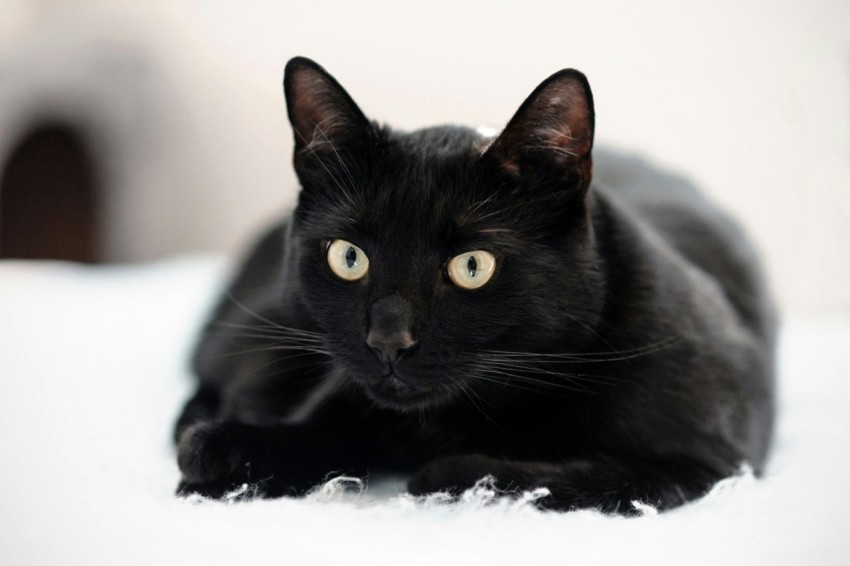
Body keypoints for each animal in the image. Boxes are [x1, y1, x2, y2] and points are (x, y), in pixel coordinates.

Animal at [174, 56, 776, 516]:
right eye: (348, 257)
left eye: (472, 266)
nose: (388, 341)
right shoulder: (344, 392)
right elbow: (310, 433)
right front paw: (222, 457)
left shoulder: (703, 464)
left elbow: (578, 477)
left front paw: (448, 474)